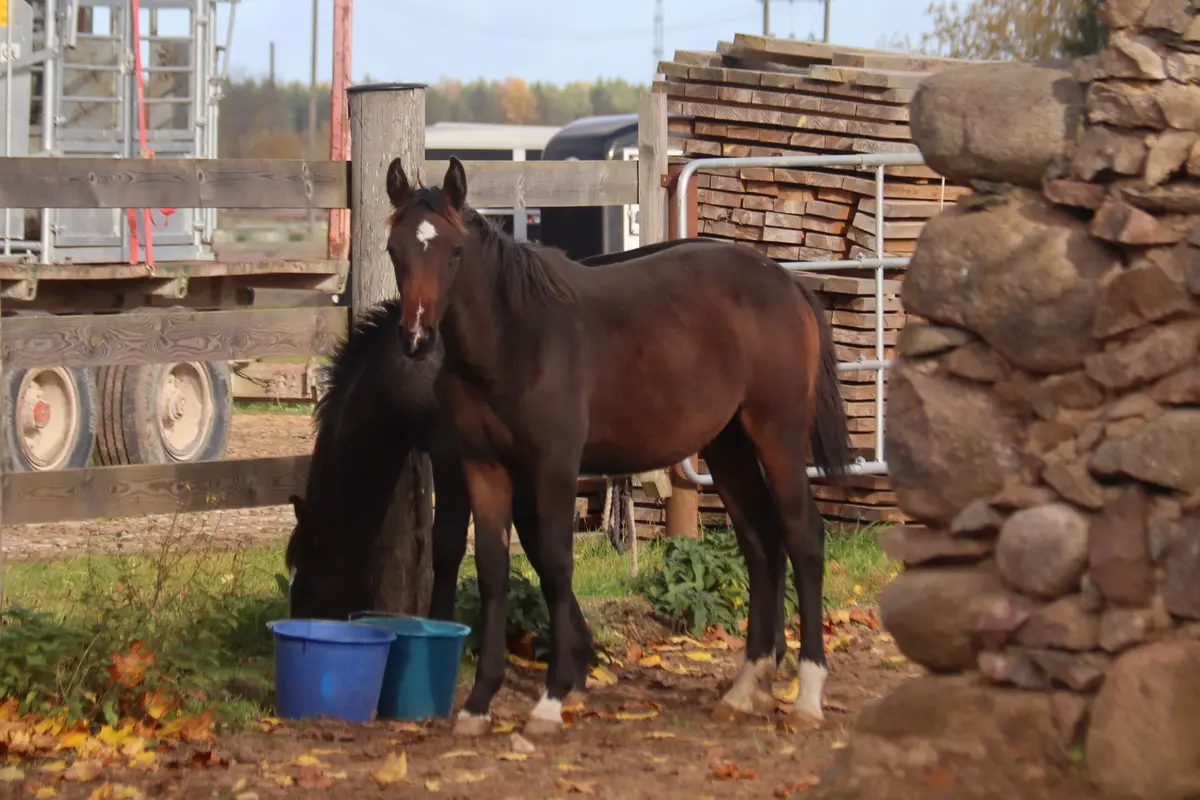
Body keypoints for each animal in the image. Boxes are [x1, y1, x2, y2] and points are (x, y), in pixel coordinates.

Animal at [383, 155, 853, 739]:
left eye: (453, 252)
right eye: (394, 250)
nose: (416, 338)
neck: (516, 341)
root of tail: (787, 282)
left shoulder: (554, 467)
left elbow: (556, 566)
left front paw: (551, 700)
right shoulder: (484, 467)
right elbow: (493, 570)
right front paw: (478, 704)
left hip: (777, 436)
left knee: (804, 538)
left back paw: (808, 693)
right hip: (728, 447)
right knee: (761, 543)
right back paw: (746, 687)